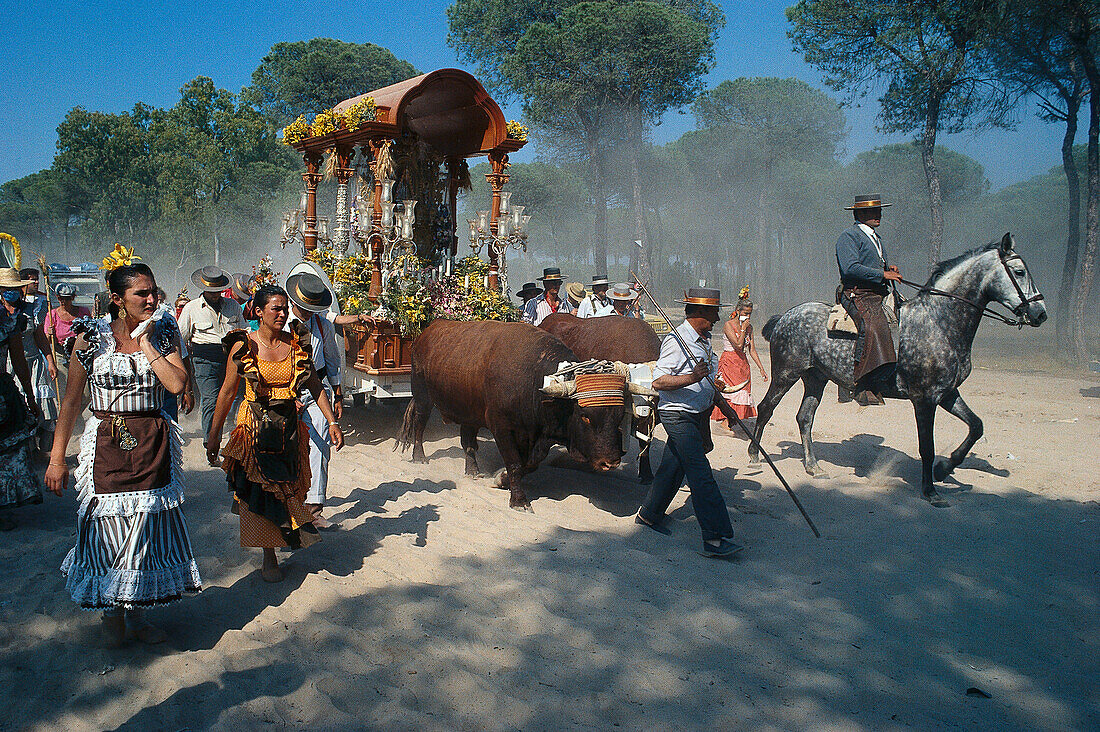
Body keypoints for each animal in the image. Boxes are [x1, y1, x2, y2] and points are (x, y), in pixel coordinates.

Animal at [752, 231, 1042, 506]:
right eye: (1019, 271)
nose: (1040, 313)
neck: (939, 322)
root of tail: (786, 316)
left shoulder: (947, 394)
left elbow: (976, 426)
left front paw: (945, 468)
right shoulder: (924, 399)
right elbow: (927, 447)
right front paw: (931, 491)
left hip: (816, 379)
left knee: (805, 418)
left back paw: (813, 467)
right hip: (785, 374)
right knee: (766, 408)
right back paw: (754, 455)